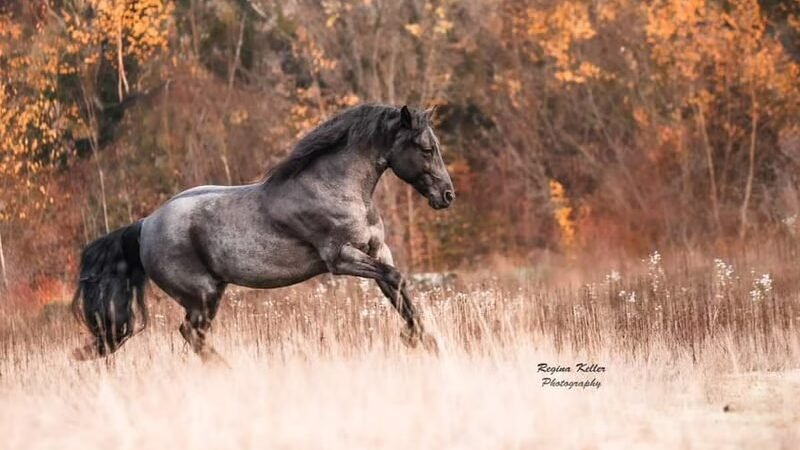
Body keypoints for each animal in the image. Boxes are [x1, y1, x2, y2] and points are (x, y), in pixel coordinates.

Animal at [71, 104, 455, 362]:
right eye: (426, 148)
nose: (447, 195)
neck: (335, 187)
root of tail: (145, 224)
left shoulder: (377, 250)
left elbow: (397, 288)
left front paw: (426, 341)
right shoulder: (340, 257)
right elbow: (395, 280)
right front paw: (414, 339)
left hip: (208, 294)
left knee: (192, 335)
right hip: (202, 294)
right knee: (191, 334)